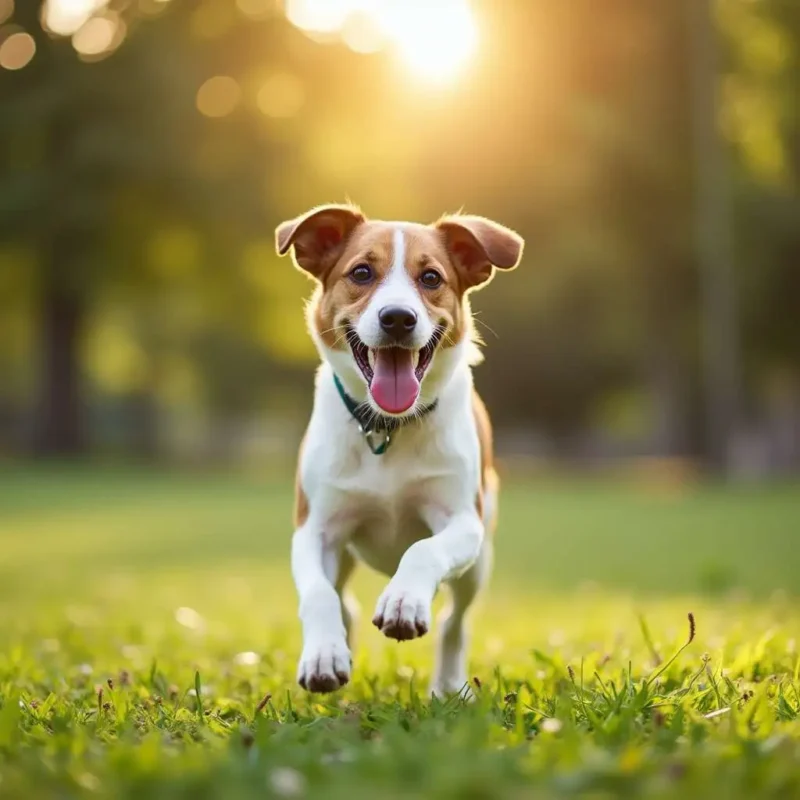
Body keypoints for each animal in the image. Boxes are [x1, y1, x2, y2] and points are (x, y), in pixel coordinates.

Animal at [276, 203, 524, 696]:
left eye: (430, 278)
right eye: (361, 272)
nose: (397, 318)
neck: (387, 427)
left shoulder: (463, 521)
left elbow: (423, 550)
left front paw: (404, 601)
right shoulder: (316, 528)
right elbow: (317, 593)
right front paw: (323, 655)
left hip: (479, 561)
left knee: (455, 621)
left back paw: (448, 686)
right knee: (342, 599)